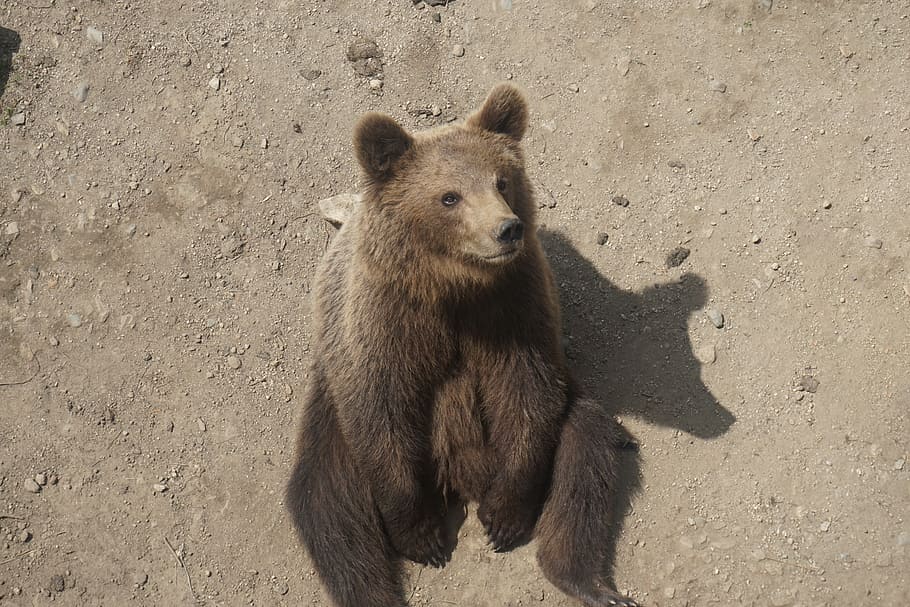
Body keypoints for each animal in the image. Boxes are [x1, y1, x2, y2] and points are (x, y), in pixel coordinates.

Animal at [285, 84, 639, 607]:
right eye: (449, 196)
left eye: (502, 181)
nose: (507, 229)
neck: (451, 285)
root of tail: (460, 474)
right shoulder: (385, 323)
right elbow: (383, 413)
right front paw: (422, 536)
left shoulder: (513, 308)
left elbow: (527, 394)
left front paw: (504, 517)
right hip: (330, 421)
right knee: (330, 509)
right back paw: (374, 588)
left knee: (585, 453)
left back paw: (590, 582)